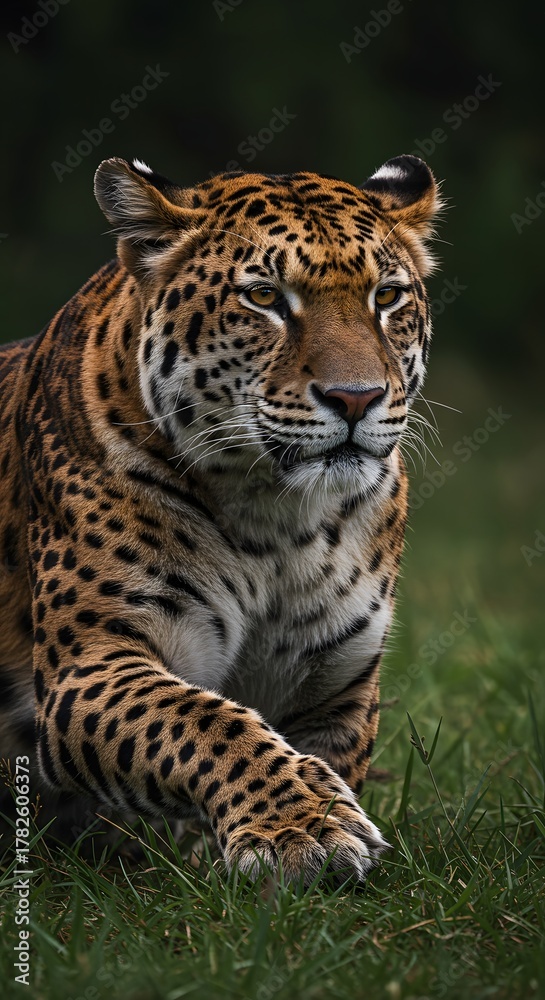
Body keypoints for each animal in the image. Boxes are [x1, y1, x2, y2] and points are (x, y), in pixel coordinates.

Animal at [0, 154, 442, 884]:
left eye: (386, 297)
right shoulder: (91, 664)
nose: (356, 398)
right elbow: (206, 722)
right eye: (263, 297)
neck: (280, 522)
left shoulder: (338, 686)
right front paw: (304, 828)